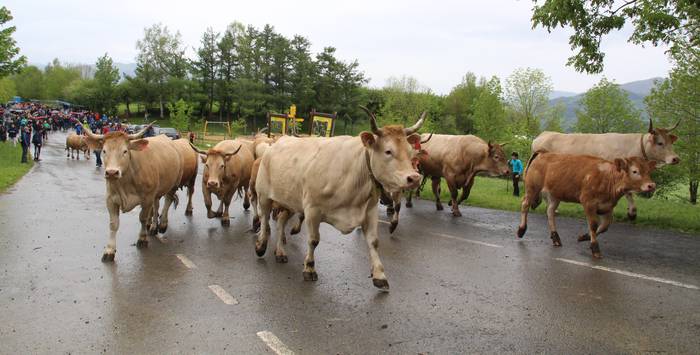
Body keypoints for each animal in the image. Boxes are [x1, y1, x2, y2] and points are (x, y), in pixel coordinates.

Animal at [82, 123, 183, 262]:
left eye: (125, 151)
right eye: (104, 150)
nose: (112, 172)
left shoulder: (146, 199)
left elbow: (142, 218)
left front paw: (142, 239)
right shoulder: (110, 200)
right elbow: (113, 224)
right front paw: (109, 250)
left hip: (173, 185)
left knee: (167, 202)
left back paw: (162, 225)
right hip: (156, 193)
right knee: (156, 205)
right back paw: (153, 227)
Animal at [254, 105, 424, 290]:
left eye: (410, 152)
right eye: (388, 151)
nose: (414, 178)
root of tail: (274, 144)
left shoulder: (369, 211)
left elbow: (373, 242)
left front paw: (379, 275)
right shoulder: (312, 210)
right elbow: (313, 240)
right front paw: (309, 268)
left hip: (289, 200)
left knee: (280, 222)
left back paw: (280, 252)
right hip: (264, 195)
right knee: (264, 219)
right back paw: (261, 245)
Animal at [516, 152, 660, 258]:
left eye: (649, 171)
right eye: (635, 171)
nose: (651, 185)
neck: (608, 178)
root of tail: (542, 153)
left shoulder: (607, 207)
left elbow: (604, 227)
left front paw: (584, 237)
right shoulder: (588, 202)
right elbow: (594, 224)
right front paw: (595, 248)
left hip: (555, 195)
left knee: (550, 212)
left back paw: (556, 237)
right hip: (532, 188)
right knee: (525, 205)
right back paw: (521, 229)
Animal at [532, 118, 680, 221]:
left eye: (670, 142)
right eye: (660, 143)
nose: (676, 158)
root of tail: (543, 134)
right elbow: (628, 192)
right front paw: (631, 213)